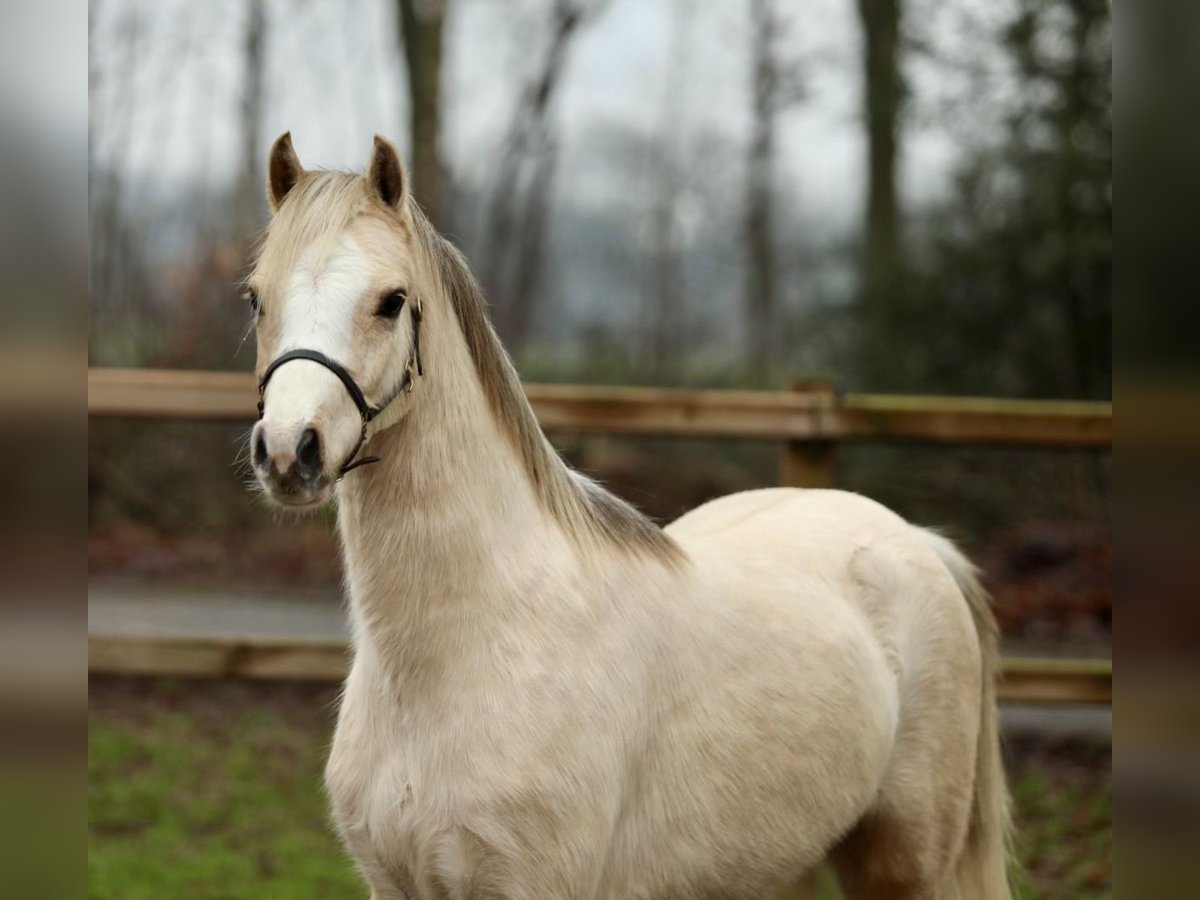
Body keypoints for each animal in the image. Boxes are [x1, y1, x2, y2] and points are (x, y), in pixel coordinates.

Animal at [246, 133, 1012, 900]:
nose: (289, 452)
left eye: (392, 300)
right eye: (256, 297)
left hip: (905, 863)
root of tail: (916, 541)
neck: (461, 654)